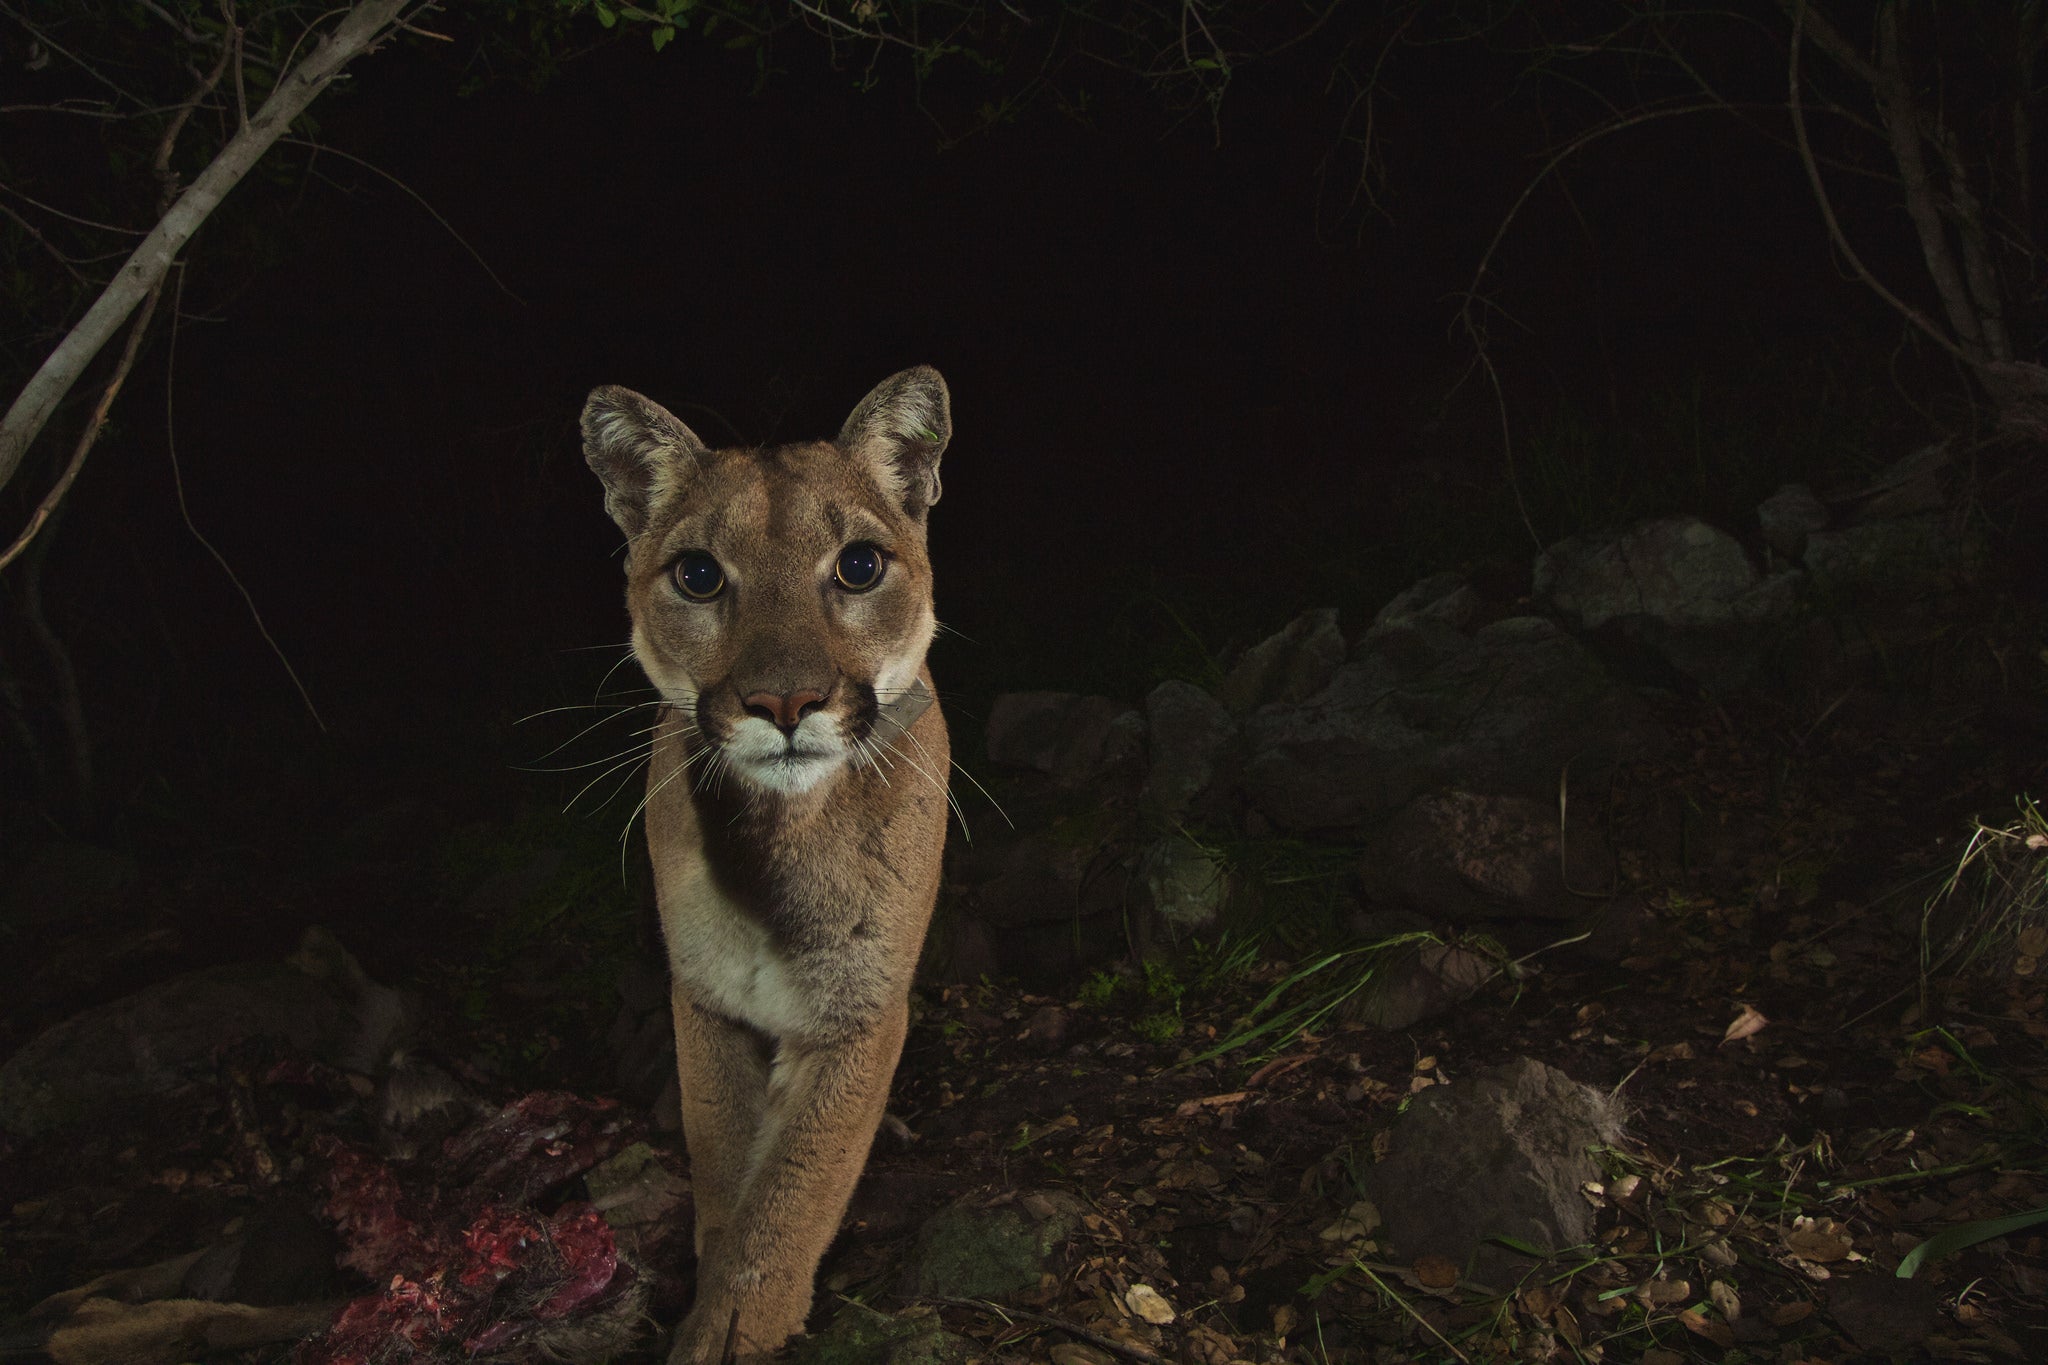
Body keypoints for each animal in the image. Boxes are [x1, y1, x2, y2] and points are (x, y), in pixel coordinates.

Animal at [581, 368, 954, 1358]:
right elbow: (728, 1168)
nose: (785, 703)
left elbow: (797, 1182)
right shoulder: (706, 997)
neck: (776, 839)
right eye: (699, 574)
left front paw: (737, 1322)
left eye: (858, 565)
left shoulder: (860, 1008)